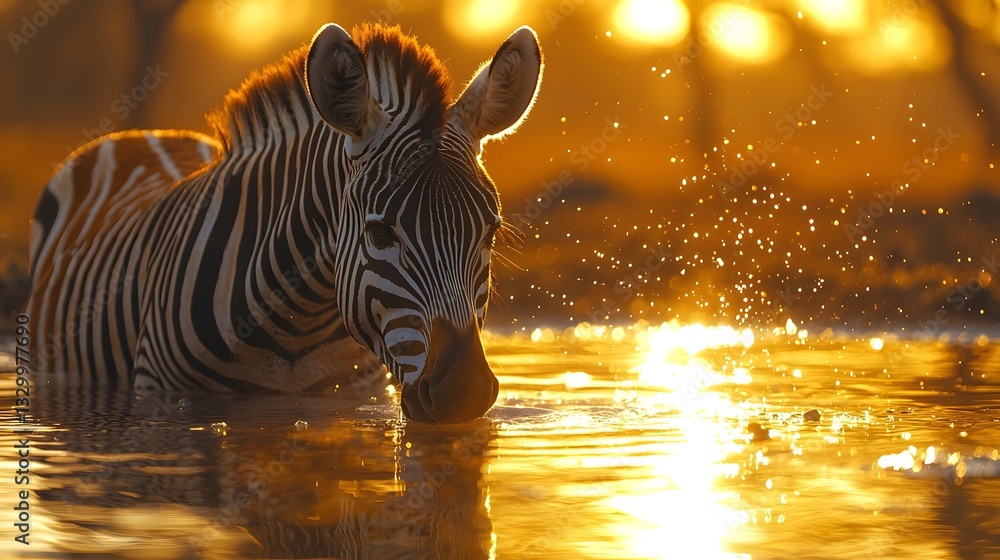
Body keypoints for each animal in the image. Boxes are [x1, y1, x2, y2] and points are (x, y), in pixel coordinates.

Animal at [26, 22, 543, 423]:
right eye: (379, 232)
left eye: (490, 232)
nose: (464, 393)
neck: (299, 320)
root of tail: (143, 134)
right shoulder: (159, 394)